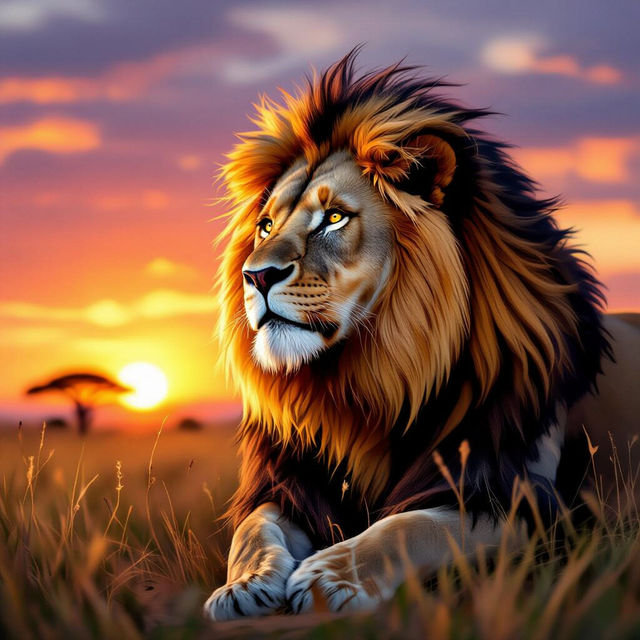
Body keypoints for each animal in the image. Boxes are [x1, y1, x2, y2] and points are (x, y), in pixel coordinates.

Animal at [204, 51, 640, 620]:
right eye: (266, 226)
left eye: (334, 217)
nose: (254, 276)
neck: (367, 382)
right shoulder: (291, 481)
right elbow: (254, 528)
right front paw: (243, 586)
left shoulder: (521, 497)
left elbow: (410, 526)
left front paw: (329, 577)